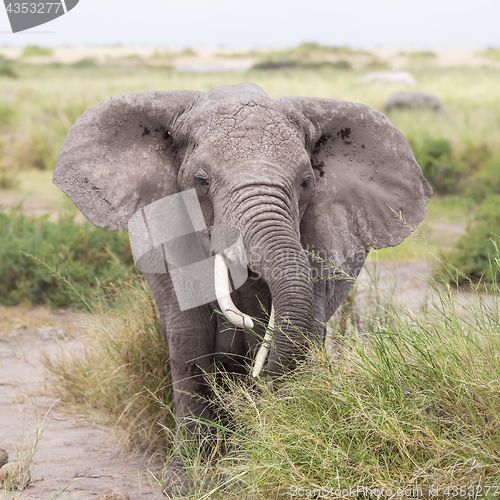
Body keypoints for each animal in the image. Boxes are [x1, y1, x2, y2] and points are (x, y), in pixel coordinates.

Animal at [52, 82, 432, 496]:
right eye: (200, 181)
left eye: (306, 182)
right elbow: (189, 339)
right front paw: (189, 483)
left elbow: (293, 335)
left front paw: (254, 460)